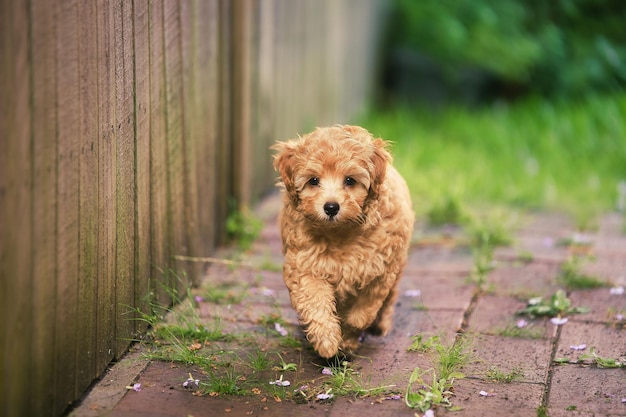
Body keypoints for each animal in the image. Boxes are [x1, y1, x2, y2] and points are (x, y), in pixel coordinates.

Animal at [270, 124, 412, 358]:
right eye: (313, 180)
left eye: (350, 180)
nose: (331, 207)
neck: (340, 233)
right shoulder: (304, 265)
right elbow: (315, 302)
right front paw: (326, 341)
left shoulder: (379, 272)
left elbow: (361, 315)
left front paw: (347, 339)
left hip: (397, 266)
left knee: (389, 298)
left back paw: (380, 325)